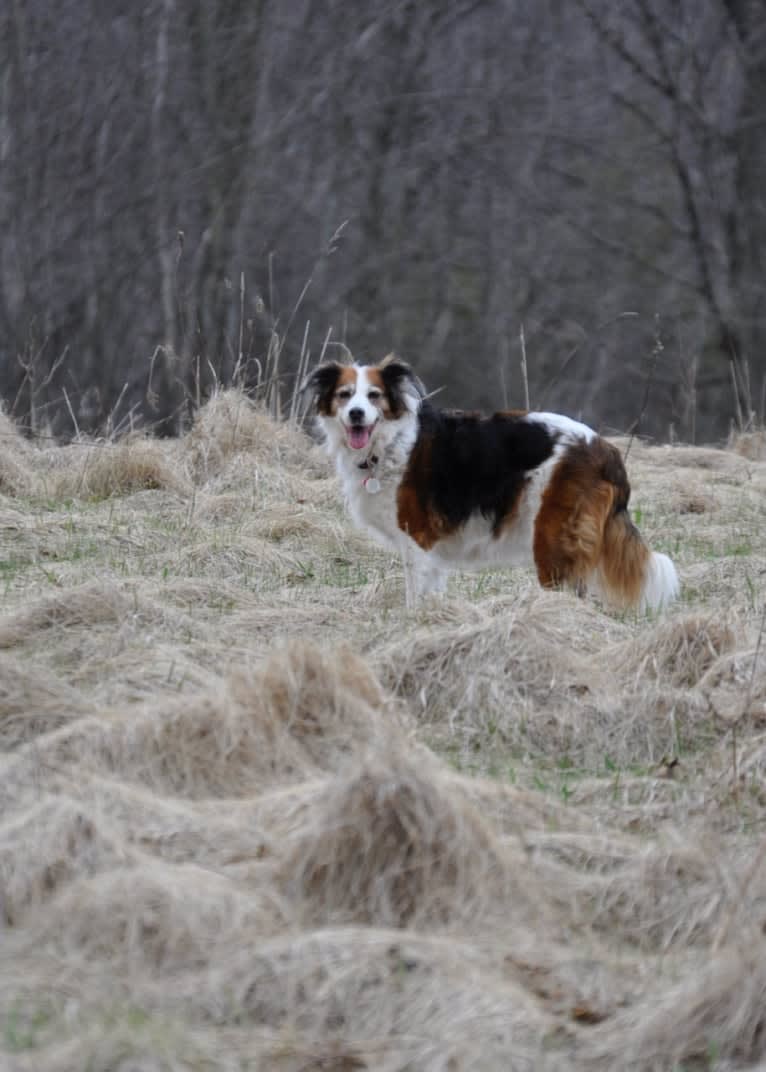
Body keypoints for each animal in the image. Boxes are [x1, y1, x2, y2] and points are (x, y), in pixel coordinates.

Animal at [302, 355, 681, 613]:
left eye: (374, 395)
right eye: (344, 395)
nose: (356, 414)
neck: (391, 442)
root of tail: (605, 450)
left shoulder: (417, 539)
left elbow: (415, 591)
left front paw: (413, 623)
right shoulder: (430, 550)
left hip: (552, 537)